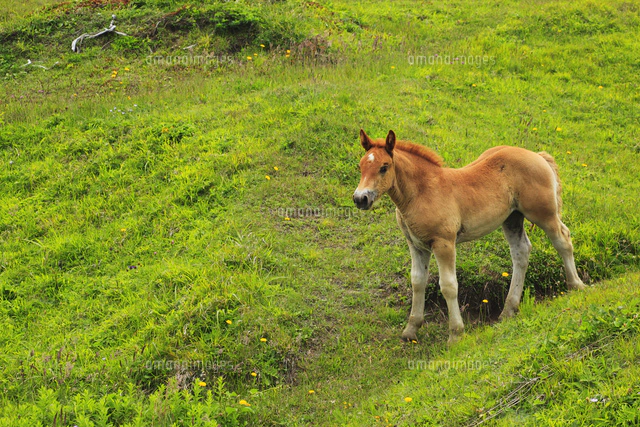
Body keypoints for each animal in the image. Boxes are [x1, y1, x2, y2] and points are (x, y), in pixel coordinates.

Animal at [353, 129, 586, 344]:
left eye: (384, 167)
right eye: (361, 166)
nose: (360, 199)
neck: (422, 192)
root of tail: (538, 156)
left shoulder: (444, 243)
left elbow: (448, 286)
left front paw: (456, 334)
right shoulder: (416, 245)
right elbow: (417, 281)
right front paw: (411, 330)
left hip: (543, 214)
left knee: (563, 240)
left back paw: (576, 285)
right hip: (512, 219)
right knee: (521, 252)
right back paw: (508, 310)